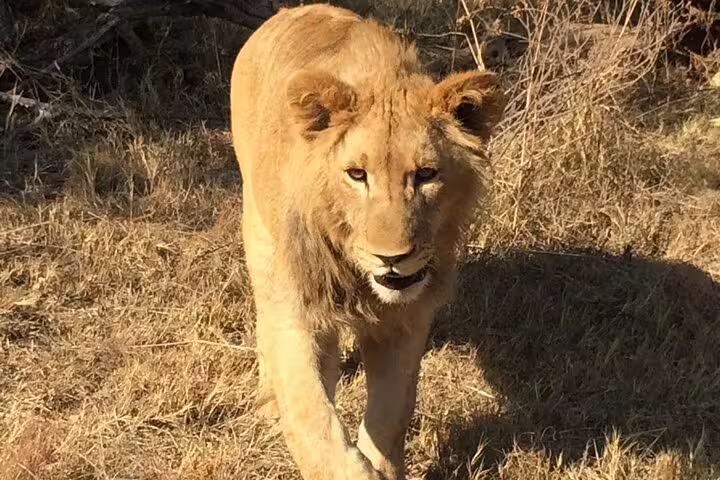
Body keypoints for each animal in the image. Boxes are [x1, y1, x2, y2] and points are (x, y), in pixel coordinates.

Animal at [229, 5, 505, 480]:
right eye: (357, 174)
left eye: (426, 174)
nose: (392, 258)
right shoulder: (300, 313)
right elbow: (312, 419)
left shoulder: (407, 319)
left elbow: (390, 412)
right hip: (260, 235)